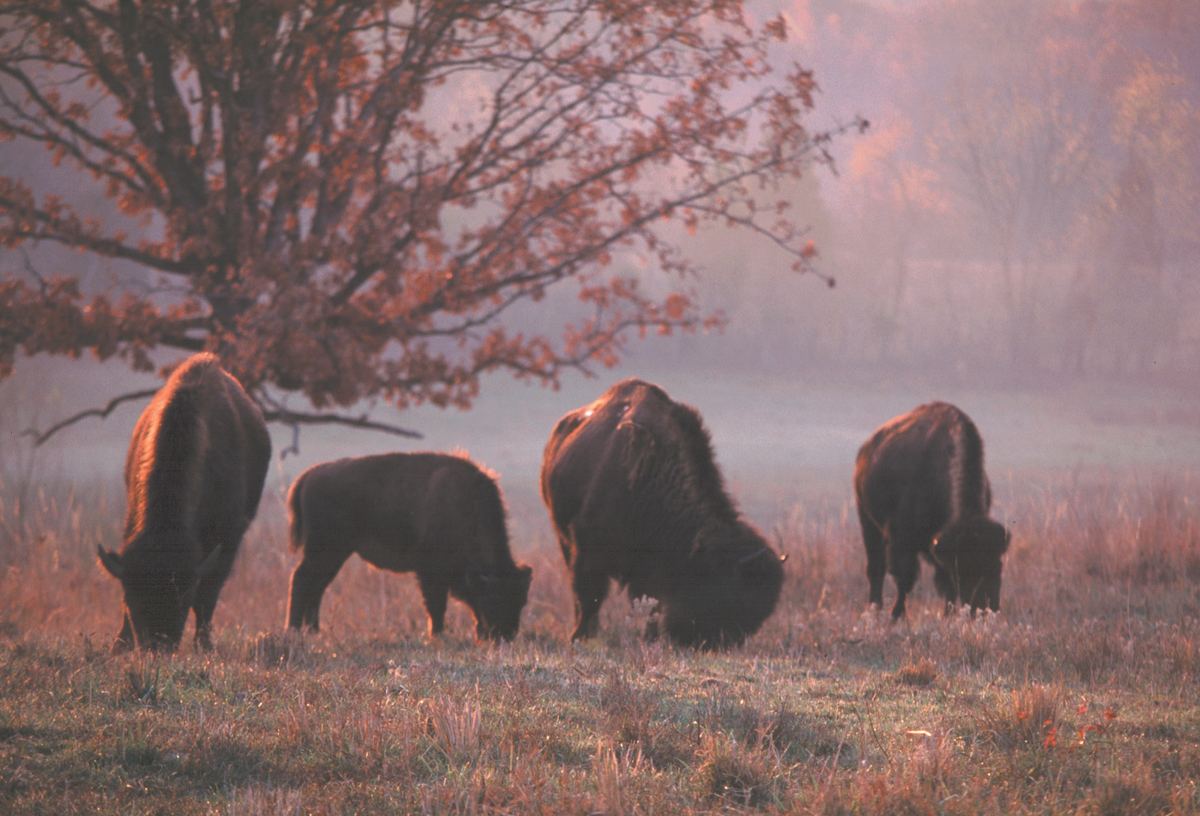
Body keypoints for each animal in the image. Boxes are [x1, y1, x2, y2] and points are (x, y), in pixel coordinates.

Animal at [98, 353, 271, 651]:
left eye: (183, 597)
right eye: (132, 596)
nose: (157, 646)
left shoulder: (227, 538)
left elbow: (207, 595)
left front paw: (205, 645)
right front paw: (120, 645)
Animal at [286, 453, 532, 642]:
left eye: (521, 601)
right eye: (493, 598)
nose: (505, 636)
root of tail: (310, 475)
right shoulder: (430, 573)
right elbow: (436, 605)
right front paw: (436, 635)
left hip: (333, 554)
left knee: (317, 586)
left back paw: (313, 630)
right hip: (326, 550)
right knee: (302, 580)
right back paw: (294, 629)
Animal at [541, 379, 784, 648]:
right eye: (729, 593)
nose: (720, 643)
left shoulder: (648, 568)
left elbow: (651, 604)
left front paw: (650, 637)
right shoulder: (587, 550)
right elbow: (589, 597)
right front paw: (581, 636)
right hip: (563, 537)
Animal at [854, 401, 1010, 619]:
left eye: (998, 566)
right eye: (962, 569)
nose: (986, 609)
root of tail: (867, 449)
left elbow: (946, 587)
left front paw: (948, 616)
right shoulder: (902, 540)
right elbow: (905, 580)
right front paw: (896, 616)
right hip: (867, 522)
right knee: (876, 569)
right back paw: (875, 609)